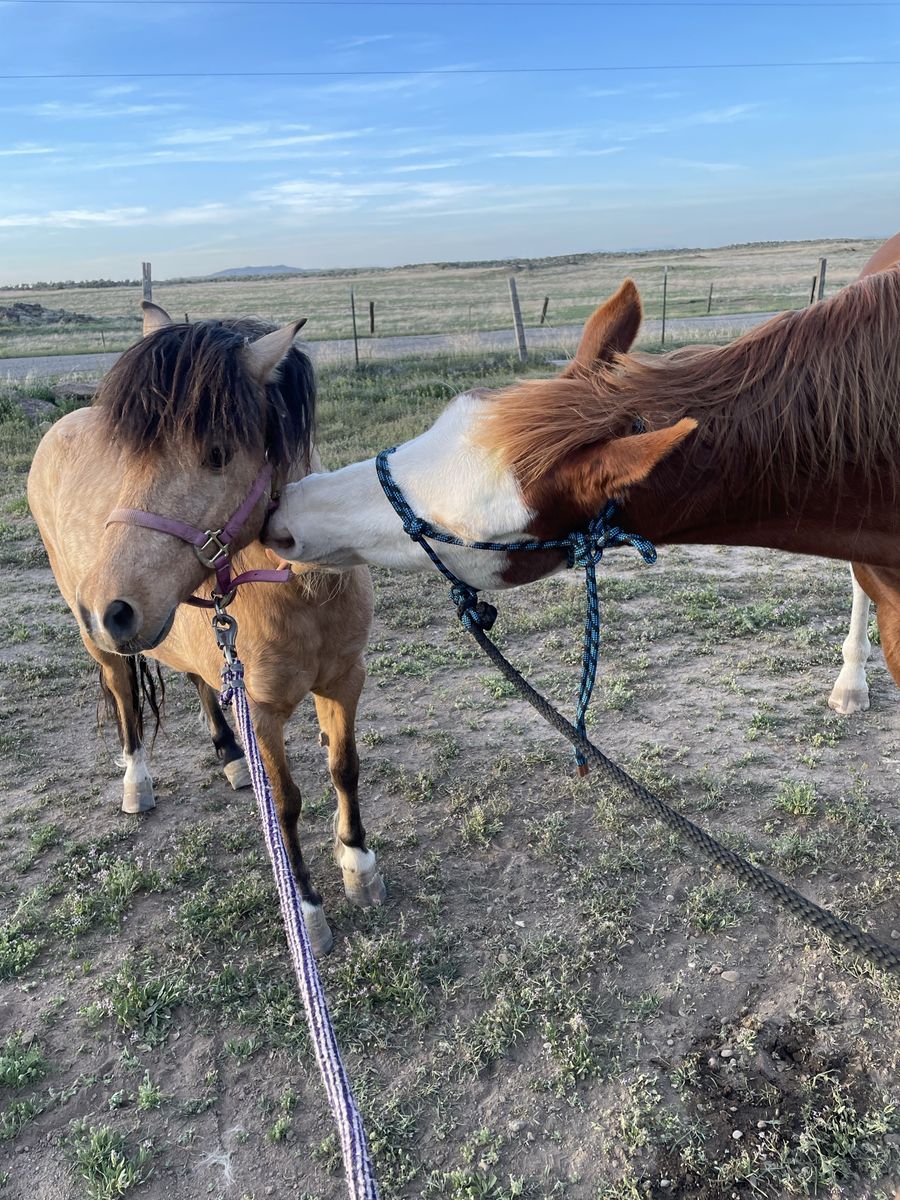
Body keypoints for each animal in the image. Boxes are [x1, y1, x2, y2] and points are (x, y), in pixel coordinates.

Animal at [27, 302, 384, 955]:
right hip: (100, 645)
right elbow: (286, 806)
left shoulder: (344, 680)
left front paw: (358, 865)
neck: (301, 592)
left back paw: (229, 755)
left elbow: (343, 768)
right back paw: (137, 783)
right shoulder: (263, 712)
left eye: (217, 454)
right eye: (128, 459)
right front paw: (307, 911)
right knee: (124, 698)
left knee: (197, 679)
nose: (111, 608)